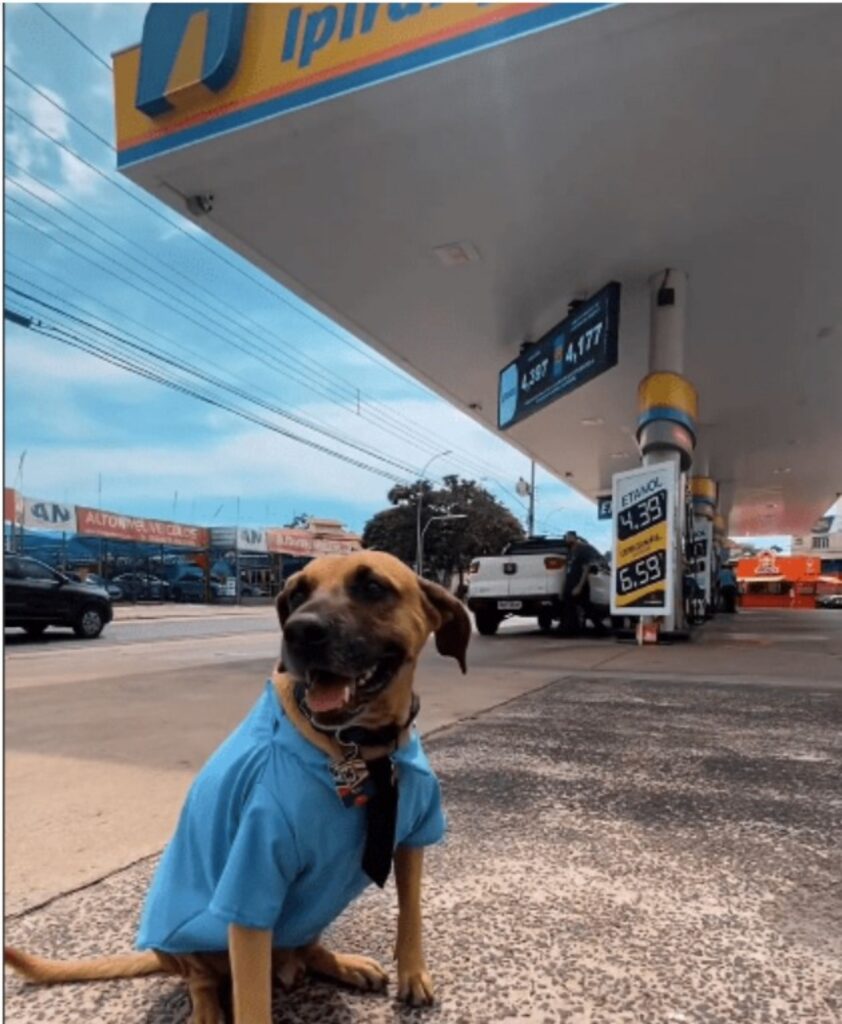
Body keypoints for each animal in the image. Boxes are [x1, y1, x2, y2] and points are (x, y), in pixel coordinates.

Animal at [3, 557, 471, 1024]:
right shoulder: (252, 883)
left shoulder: (411, 841)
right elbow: (252, 1002)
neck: (360, 747)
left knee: (307, 946)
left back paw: (341, 964)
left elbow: (410, 911)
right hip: (184, 946)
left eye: (373, 586)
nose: (299, 631)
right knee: (202, 979)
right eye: (296, 594)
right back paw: (208, 1008)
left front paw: (413, 973)